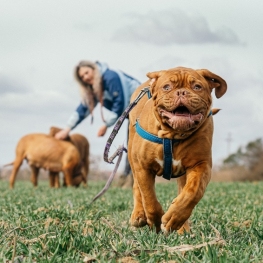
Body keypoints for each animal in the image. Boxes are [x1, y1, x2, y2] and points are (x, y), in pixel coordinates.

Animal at [128, 67, 227, 234]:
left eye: (197, 87)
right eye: (166, 87)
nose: (181, 92)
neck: (172, 135)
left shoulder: (201, 164)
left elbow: (192, 192)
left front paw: (173, 218)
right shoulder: (143, 167)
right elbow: (149, 198)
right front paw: (155, 221)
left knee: (182, 190)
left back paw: (182, 227)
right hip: (132, 156)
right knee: (137, 187)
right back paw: (139, 215)